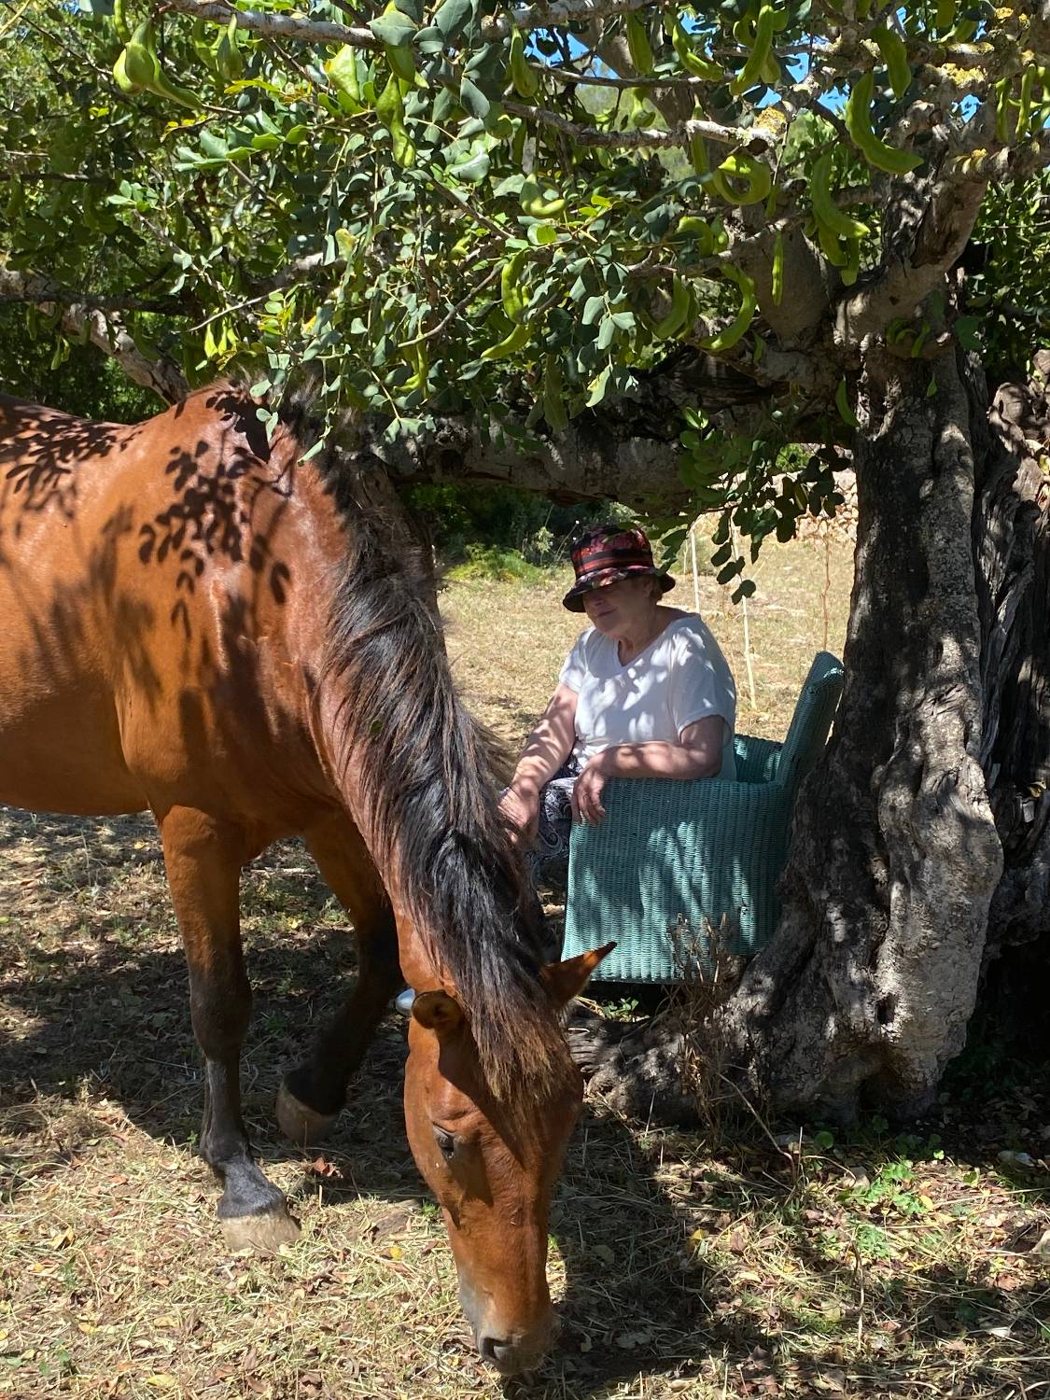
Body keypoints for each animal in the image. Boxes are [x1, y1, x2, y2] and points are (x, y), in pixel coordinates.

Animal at [0, 380, 612, 1376]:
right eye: (449, 1138)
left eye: (567, 1122)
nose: (518, 1343)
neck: (248, 578)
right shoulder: (193, 832)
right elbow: (220, 1002)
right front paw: (241, 1179)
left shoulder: (331, 809)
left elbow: (381, 955)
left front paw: (312, 1091)